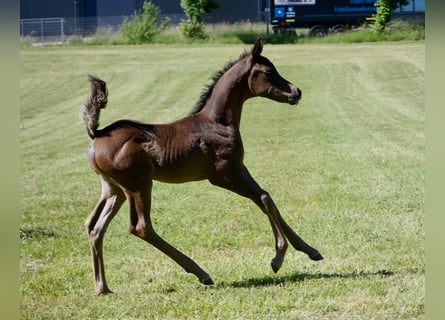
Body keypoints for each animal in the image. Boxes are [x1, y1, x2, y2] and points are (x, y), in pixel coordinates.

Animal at [82, 37, 320, 296]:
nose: (296, 92)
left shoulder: (239, 167)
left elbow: (266, 198)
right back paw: (201, 273)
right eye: (268, 72)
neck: (218, 121)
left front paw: (310, 250)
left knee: (94, 226)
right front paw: (278, 257)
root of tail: (96, 135)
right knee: (140, 227)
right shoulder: (223, 174)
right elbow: (265, 198)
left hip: (114, 189)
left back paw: (102, 287)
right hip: (138, 185)